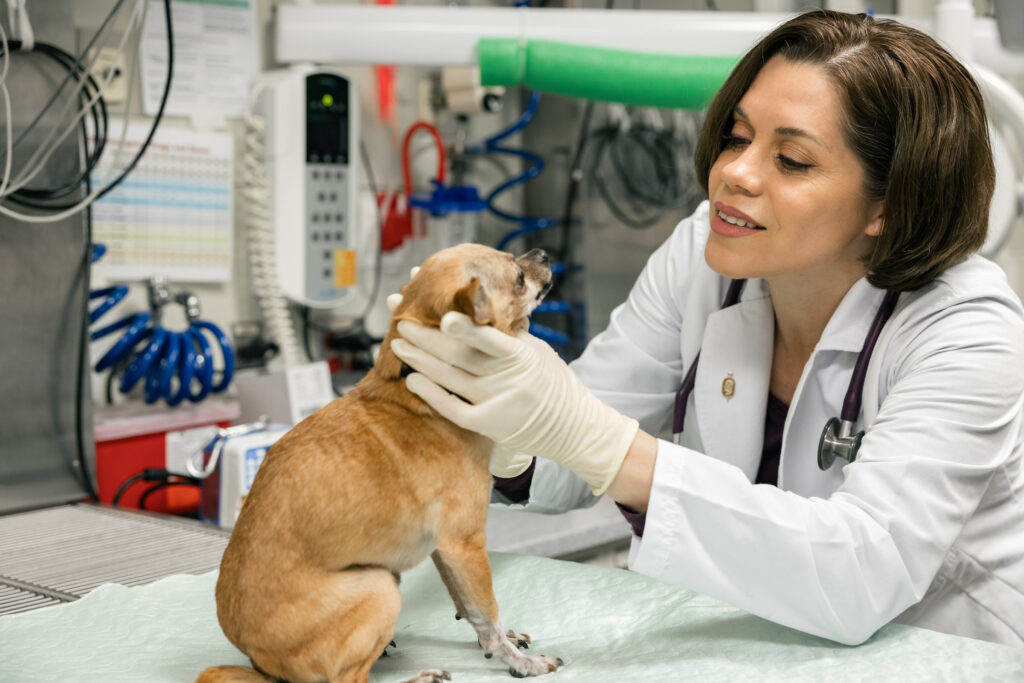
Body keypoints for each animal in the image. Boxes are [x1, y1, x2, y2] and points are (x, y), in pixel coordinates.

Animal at [195, 244, 565, 683]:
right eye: (518, 278)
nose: (542, 252)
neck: (416, 392)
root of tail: (261, 664)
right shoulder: (465, 544)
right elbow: (486, 610)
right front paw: (520, 661)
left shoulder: (445, 551)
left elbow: (470, 608)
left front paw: (498, 643)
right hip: (380, 587)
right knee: (348, 679)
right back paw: (418, 677)